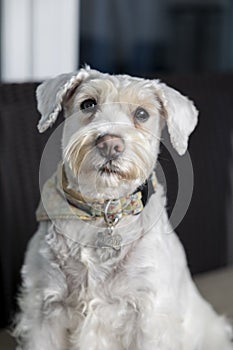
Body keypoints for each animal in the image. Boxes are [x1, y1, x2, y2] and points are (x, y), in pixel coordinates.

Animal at [14, 67, 231, 348]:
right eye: (88, 104)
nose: (109, 143)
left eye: (142, 114)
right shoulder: (44, 311)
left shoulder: (148, 319)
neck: (103, 209)